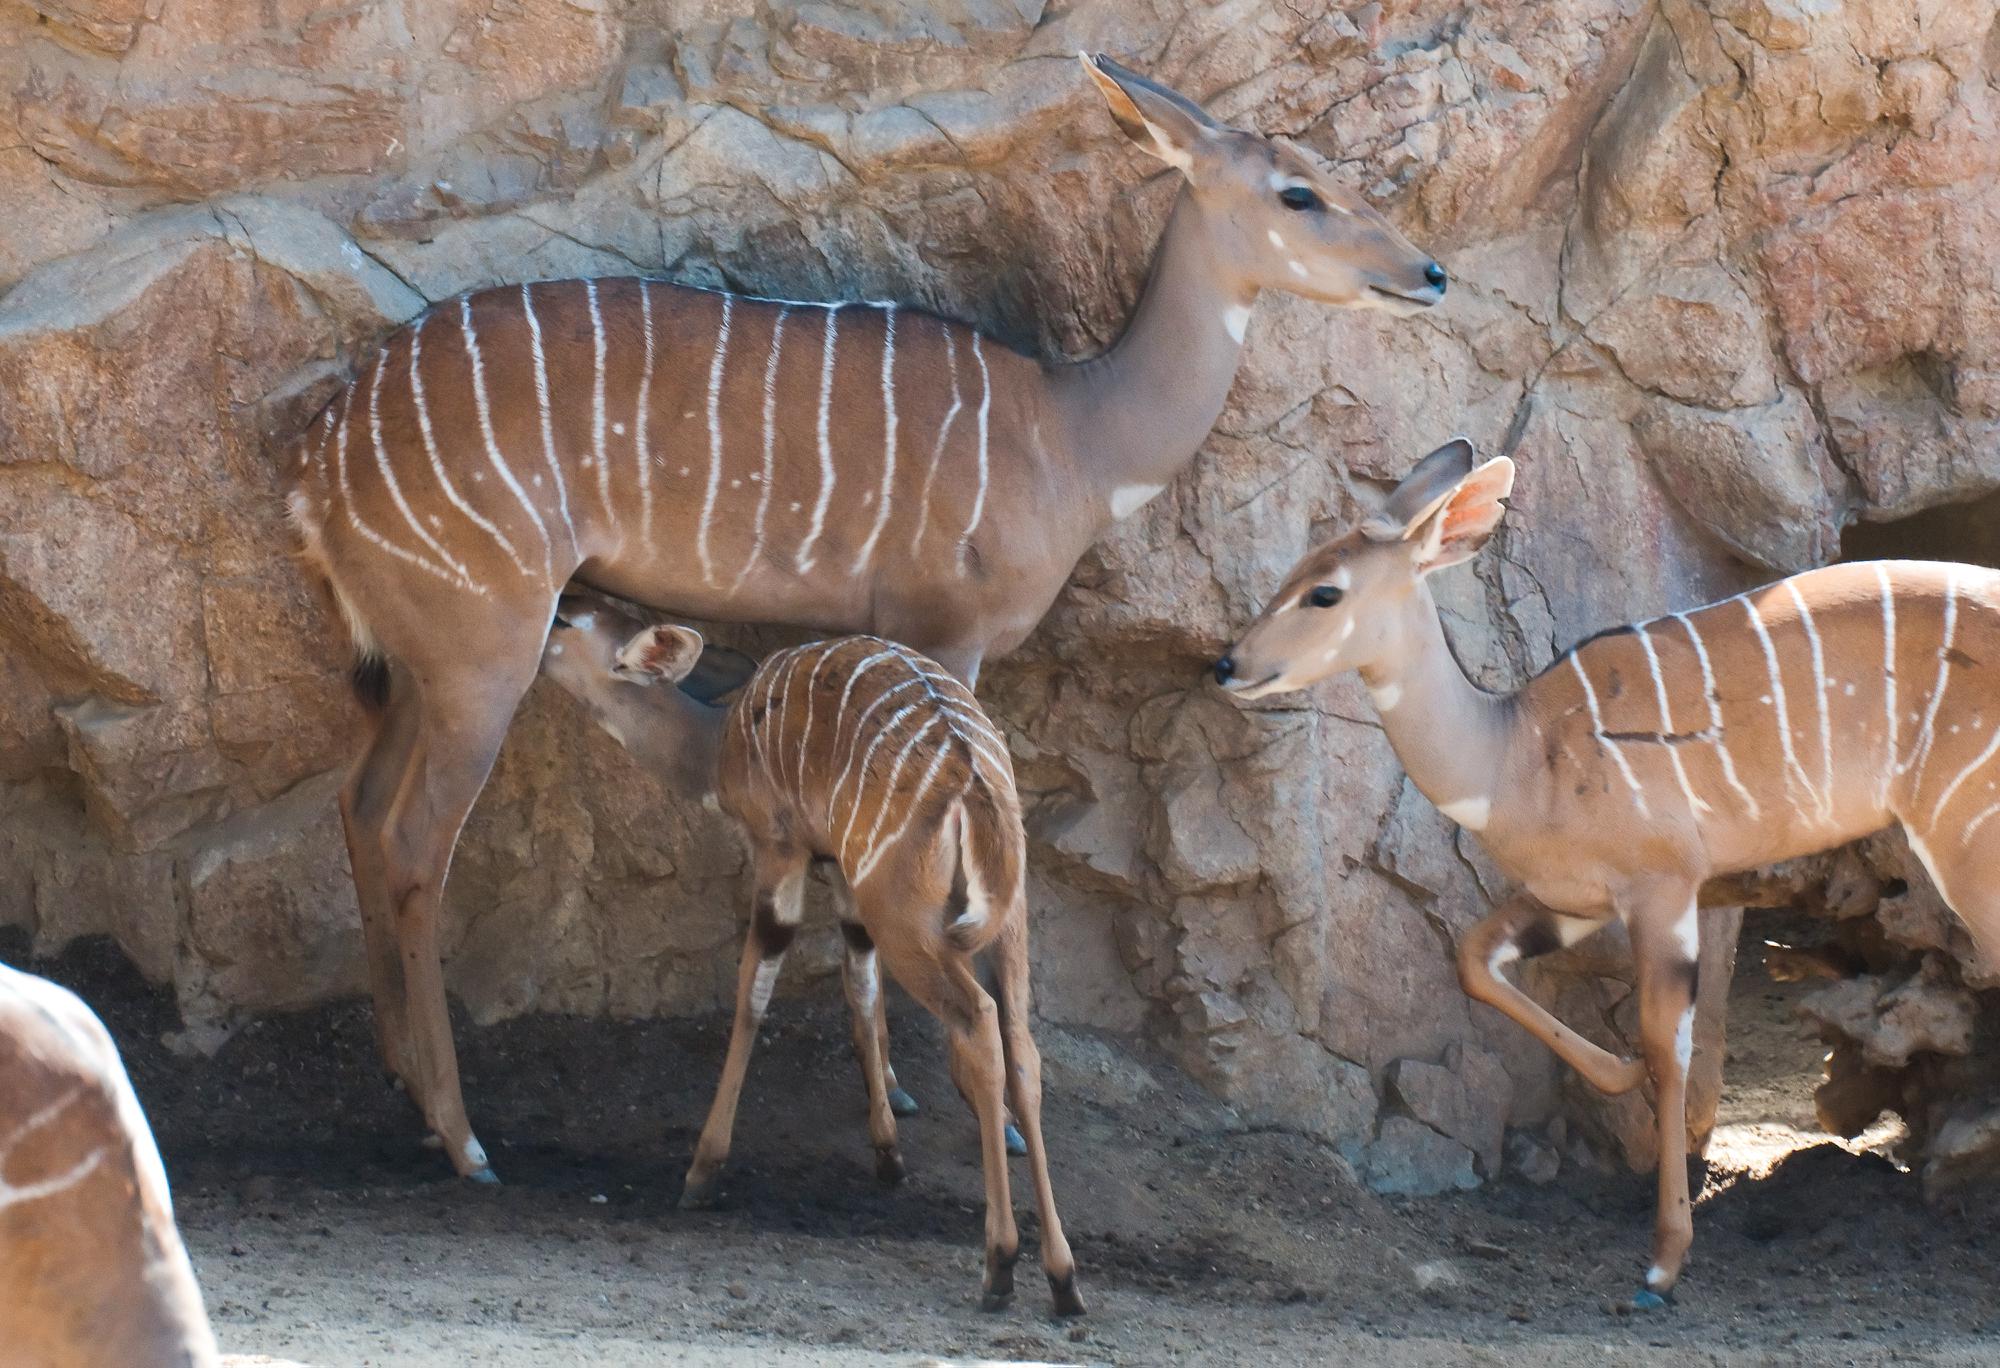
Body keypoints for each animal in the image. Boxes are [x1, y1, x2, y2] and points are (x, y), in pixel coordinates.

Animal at [282, 56, 1448, 1184]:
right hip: (484, 649)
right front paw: (978, 1121)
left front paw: (900, 1099)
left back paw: (403, 1084)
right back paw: (465, 1140)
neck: (1073, 437)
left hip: (423, 661)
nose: (1428, 274)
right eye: (1298, 192)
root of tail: (320, 460)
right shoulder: (947, 634)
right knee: (416, 842)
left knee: (359, 805)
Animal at [544, 608, 1080, 1312]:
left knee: (979, 1025)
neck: (720, 744)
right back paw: (1064, 1277)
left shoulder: (782, 851)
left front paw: (702, 1171)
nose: (533, 644)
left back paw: (999, 1265)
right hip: (1004, 930)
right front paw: (887, 1152)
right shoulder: (846, 882)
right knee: (1021, 1045)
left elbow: (754, 992)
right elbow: (860, 986)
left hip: (912, 927)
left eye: (565, 624)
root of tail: (975, 788)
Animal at [1208, 438, 2000, 1304]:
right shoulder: (1574, 899)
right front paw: (1613, 1076)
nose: (1227, 665)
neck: (1516, 754)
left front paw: (1663, 1259)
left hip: (1965, 841)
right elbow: (1476, 961)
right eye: (1295, 567)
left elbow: (1667, 1046)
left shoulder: (1665, 888)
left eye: (1325, 592)